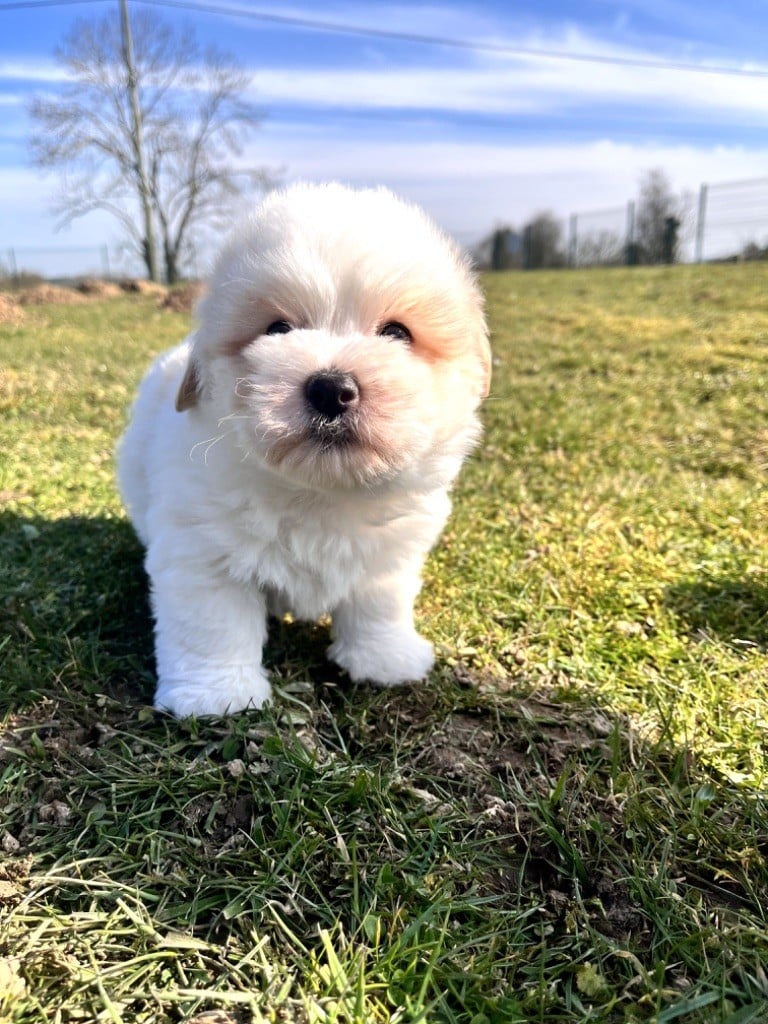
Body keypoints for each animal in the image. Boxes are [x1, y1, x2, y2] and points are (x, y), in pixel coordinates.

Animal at [118, 180, 493, 716]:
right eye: (278, 328)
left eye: (397, 333)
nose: (331, 389)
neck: (319, 490)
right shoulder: (202, 552)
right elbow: (211, 625)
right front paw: (216, 695)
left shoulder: (389, 555)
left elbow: (380, 602)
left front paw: (384, 657)